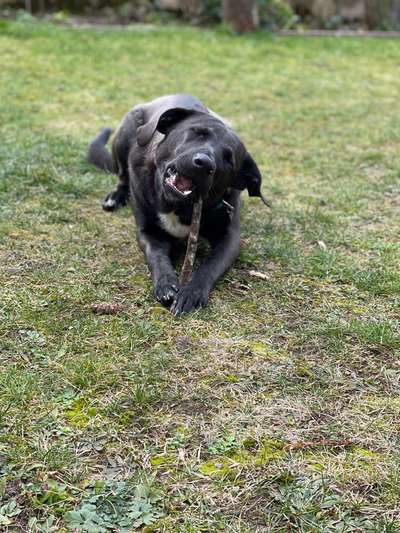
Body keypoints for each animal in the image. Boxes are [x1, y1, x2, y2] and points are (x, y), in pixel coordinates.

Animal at [88, 93, 268, 314]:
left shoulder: (230, 240)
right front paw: (166, 283)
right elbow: (157, 257)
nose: (205, 164)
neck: (178, 205)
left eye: (229, 159)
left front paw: (191, 293)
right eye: (198, 133)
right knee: (122, 175)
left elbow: (210, 266)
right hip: (124, 138)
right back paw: (116, 196)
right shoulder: (148, 232)